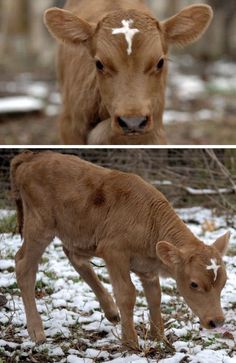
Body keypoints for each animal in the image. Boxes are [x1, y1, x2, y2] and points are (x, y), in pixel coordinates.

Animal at [10, 151, 230, 350]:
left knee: (73, 256)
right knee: (23, 265)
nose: (217, 321)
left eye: (224, 282)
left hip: (77, 232)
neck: (149, 220)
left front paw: (159, 337)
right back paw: (37, 331)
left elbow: (155, 296)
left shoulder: (147, 268)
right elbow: (127, 294)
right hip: (40, 227)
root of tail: (32, 156)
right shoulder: (114, 253)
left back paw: (111, 311)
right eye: (194, 284)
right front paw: (130, 342)